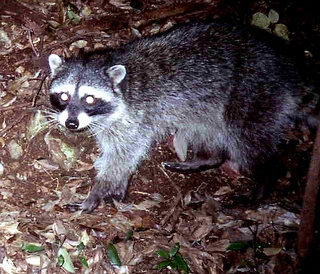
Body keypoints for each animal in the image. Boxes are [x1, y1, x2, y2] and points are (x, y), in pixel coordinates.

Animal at [47, 22, 318, 214]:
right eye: (63, 96)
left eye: (89, 99)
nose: (71, 123)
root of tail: (291, 68)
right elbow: (123, 156)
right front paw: (119, 183)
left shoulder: (134, 118)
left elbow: (123, 155)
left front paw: (100, 189)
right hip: (209, 104)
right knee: (206, 128)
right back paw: (210, 157)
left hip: (254, 93)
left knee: (246, 135)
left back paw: (264, 177)